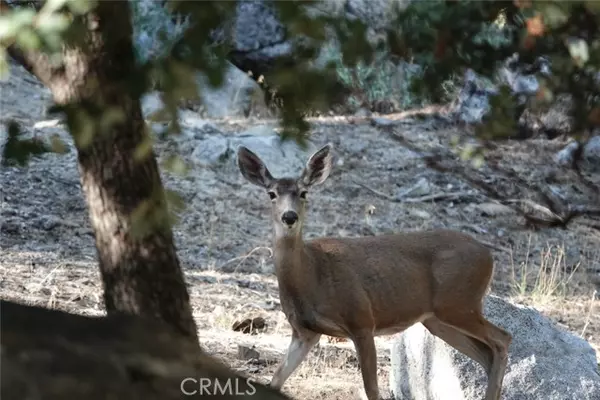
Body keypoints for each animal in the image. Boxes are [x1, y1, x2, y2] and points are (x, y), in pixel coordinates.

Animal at [234, 144, 510, 400]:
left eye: (304, 192)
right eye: (271, 193)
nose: (289, 216)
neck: (311, 275)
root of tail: (489, 256)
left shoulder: (362, 321)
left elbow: (372, 390)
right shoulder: (304, 332)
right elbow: (275, 380)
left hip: (459, 303)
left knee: (502, 338)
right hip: (438, 319)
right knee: (486, 354)